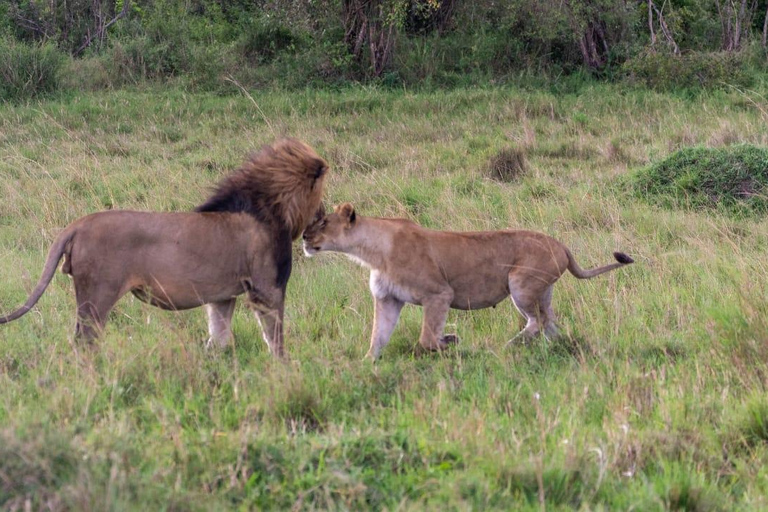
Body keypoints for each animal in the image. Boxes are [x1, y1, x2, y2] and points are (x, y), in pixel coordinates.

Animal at [0, 138, 328, 358]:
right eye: (321, 193)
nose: (324, 215)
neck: (269, 209)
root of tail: (78, 223)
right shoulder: (266, 289)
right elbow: (276, 339)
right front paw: (283, 372)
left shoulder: (223, 296)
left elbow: (219, 337)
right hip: (97, 295)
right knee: (85, 341)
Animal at [304, 204, 632, 360]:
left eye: (323, 223)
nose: (304, 237)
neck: (372, 252)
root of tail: (560, 244)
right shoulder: (388, 300)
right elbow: (377, 339)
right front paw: (366, 364)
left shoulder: (439, 294)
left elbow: (426, 338)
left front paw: (449, 341)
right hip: (543, 290)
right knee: (550, 324)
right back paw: (556, 348)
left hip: (521, 284)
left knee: (537, 322)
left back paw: (508, 346)